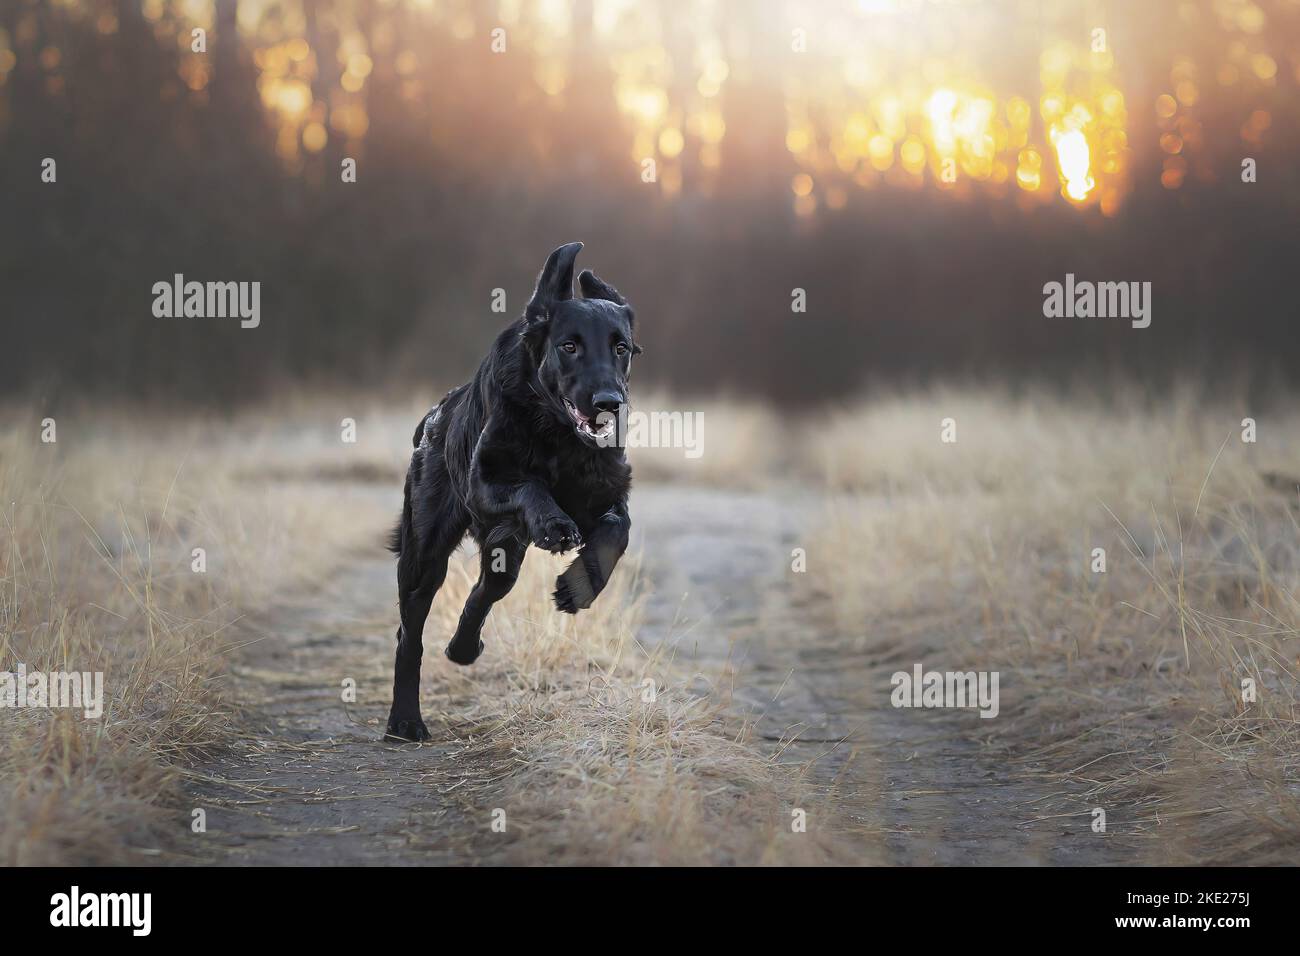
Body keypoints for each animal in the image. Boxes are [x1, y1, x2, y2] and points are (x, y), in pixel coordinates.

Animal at [382, 240, 642, 738]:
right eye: (568, 346)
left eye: (620, 347)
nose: (609, 403)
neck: (558, 433)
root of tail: (432, 418)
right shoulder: (484, 481)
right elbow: (531, 487)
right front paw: (556, 524)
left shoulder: (608, 489)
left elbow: (616, 533)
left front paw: (578, 588)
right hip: (424, 554)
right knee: (410, 635)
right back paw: (404, 721)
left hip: (504, 555)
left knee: (486, 589)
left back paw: (463, 647)